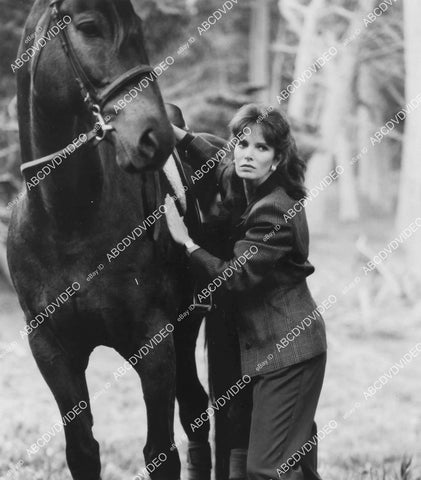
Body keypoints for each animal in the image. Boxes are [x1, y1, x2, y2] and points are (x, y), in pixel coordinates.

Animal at [7, 0, 217, 480]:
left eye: (137, 28)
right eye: (87, 27)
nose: (155, 134)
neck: (69, 220)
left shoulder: (155, 346)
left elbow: (161, 453)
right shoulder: (52, 352)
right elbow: (83, 451)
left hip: (186, 327)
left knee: (194, 410)